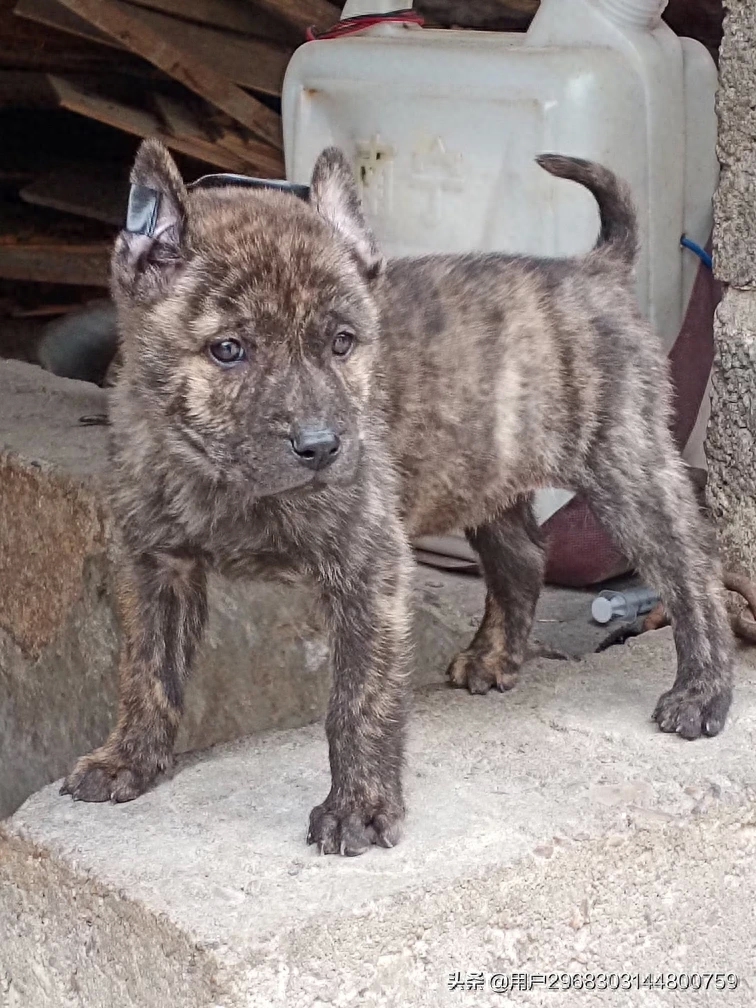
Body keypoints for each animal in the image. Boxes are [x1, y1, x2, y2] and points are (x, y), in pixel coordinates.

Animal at [62, 138, 737, 854]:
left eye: (342, 342)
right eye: (228, 350)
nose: (321, 446)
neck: (220, 475)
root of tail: (596, 269)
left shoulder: (367, 565)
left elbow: (359, 698)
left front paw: (359, 807)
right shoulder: (155, 565)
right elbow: (146, 668)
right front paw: (129, 759)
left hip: (625, 463)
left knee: (690, 567)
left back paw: (702, 693)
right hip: (483, 470)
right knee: (522, 558)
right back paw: (493, 658)